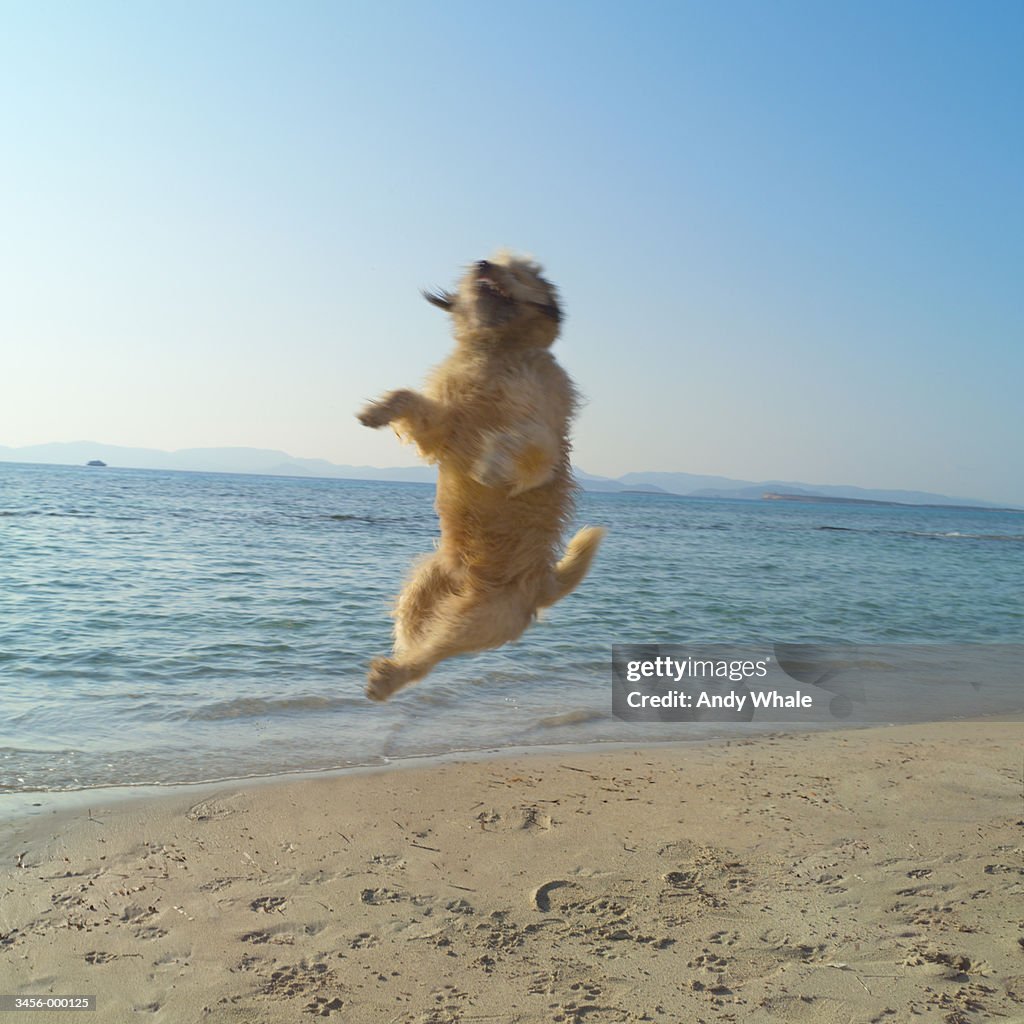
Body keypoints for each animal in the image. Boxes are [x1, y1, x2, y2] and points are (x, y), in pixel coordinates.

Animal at [356, 254, 602, 700]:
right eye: (494, 261)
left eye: (519, 270)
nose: (483, 264)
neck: (496, 352)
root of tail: (543, 584)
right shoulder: (442, 427)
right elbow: (409, 398)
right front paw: (377, 410)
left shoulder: (541, 428)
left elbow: (521, 444)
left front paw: (492, 466)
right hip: (423, 587)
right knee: (416, 636)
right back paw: (388, 673)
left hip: (477, 617)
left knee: (434, 652)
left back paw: (391, 678)